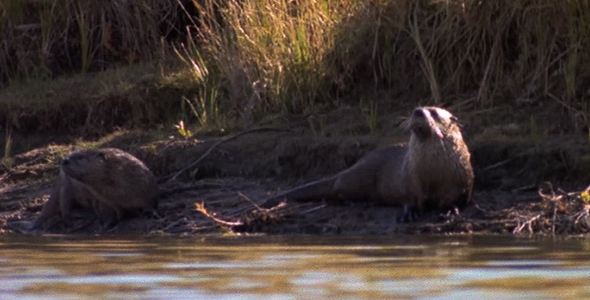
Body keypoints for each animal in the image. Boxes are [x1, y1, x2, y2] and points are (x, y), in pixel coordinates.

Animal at [29, 149, 160, 231]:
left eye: (80, 157)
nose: (64, 160)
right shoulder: (104, 201)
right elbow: (106, 212)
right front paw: (108, 224)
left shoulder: (146, 185)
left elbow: (149, 202)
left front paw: (151, 213)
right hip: (65, 188)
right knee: (66, 211)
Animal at [262, 106, 474, 219]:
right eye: (417, 108)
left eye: (435, 112)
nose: (418, 111)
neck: (433, 173)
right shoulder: (410, 179)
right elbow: (409, 198)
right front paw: (409, 213)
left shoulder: (460, 181)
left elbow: (456, 199)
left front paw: (450, 210)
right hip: (356, 179)